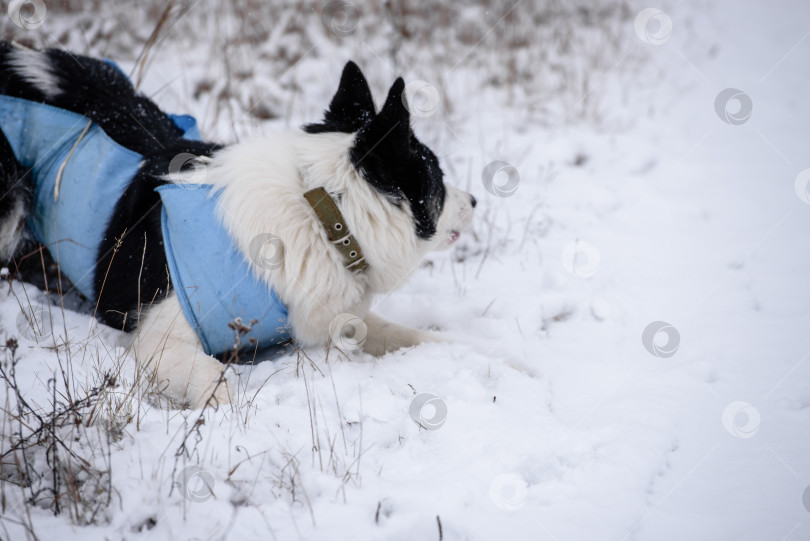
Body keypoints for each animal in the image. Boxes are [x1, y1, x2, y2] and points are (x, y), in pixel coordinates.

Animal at [0, 42, 474, 404]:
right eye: (437, 176)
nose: (474, 199)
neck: (320, 213)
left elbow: (405, 334)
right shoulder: (159, 340)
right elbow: (216, 381)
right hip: (12, 201)